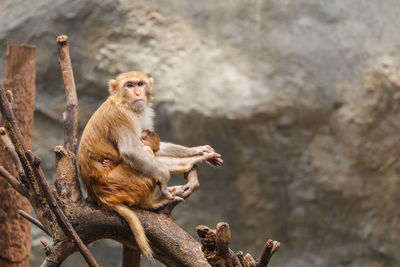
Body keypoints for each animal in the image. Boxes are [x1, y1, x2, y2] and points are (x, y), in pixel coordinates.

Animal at [78, 71, 222, 262]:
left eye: (140, 83)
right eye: (129, 85)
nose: (138, 93)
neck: (125, 104)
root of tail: (100, 196)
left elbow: (156, 149)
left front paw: (196, 153)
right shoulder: (121, 116)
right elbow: (132, 151)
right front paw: (166, 177)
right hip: (119, 182)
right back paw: (152, 203)